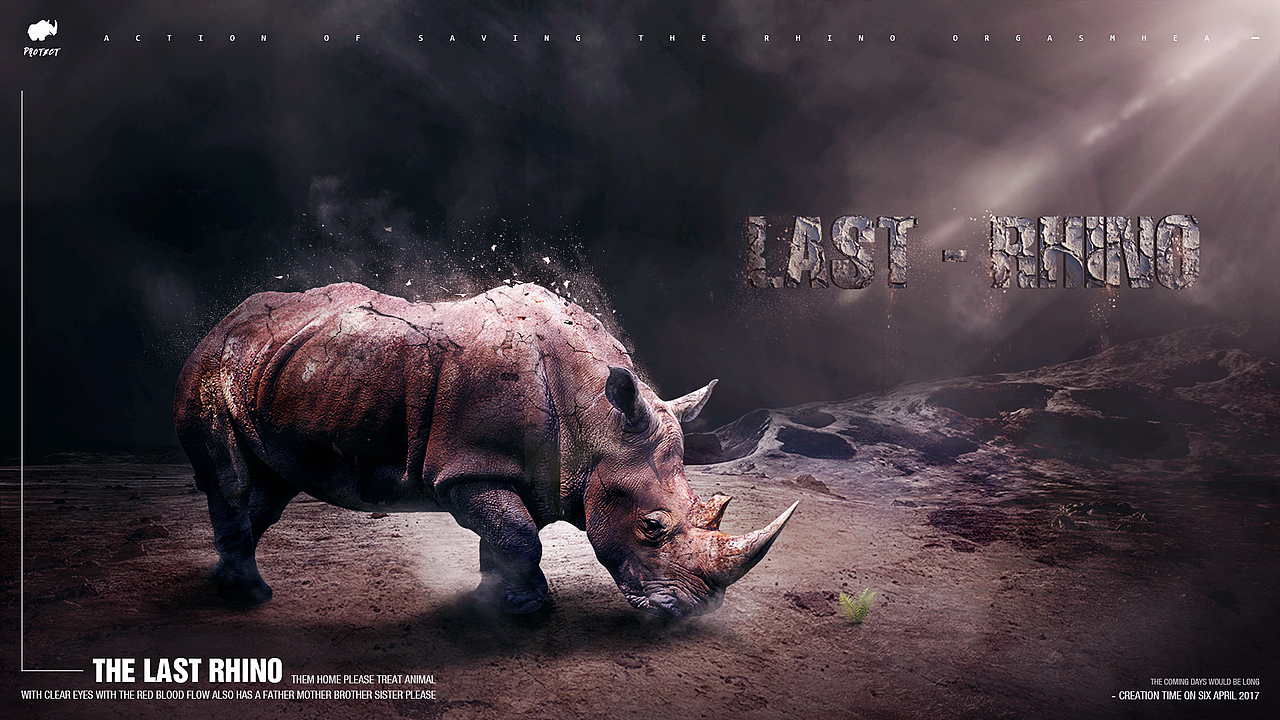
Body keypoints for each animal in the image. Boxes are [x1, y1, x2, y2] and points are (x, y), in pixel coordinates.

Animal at [174, 282, 796, 617]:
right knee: (233, 481)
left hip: (279, 368)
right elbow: (517, 534)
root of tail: (223, 322)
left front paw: (495, 600)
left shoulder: (524, 469)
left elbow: (506, 535)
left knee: (270, 487)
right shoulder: (466, 467)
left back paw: (232, 584)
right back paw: (250, 597)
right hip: (212, 364)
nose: (694, 613)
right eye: (652, 527)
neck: (598, 417)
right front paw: (526, 610)